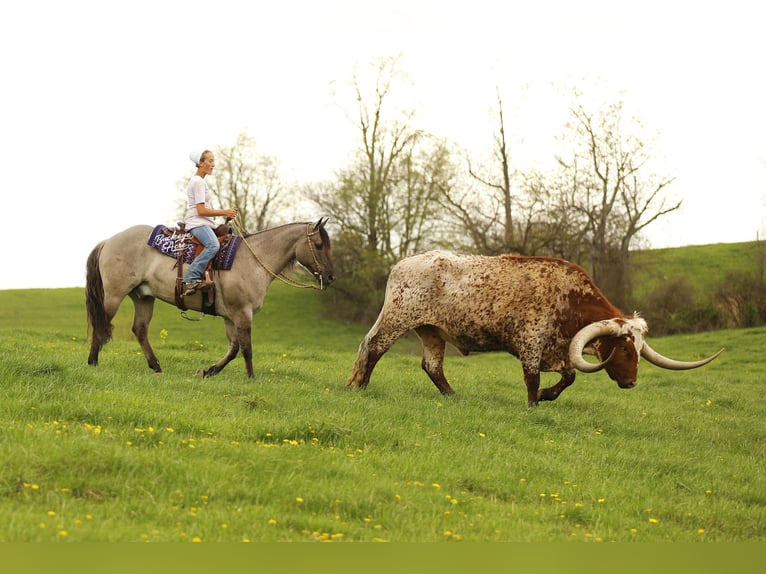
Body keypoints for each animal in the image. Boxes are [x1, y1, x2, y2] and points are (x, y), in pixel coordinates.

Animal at [86, 219, 334, 377]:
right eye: (319, 245)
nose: (331, 277)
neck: (253, 261)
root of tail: (109, 241)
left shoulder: (230, 316)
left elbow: (234, 348)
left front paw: (208, 371)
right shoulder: (242, 313)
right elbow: (246, 348)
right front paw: (251, 378)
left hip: (143, 297)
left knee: (139, 329)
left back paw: (156, 366)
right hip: (114, 295)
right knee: (101, 323)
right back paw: (93, 362)